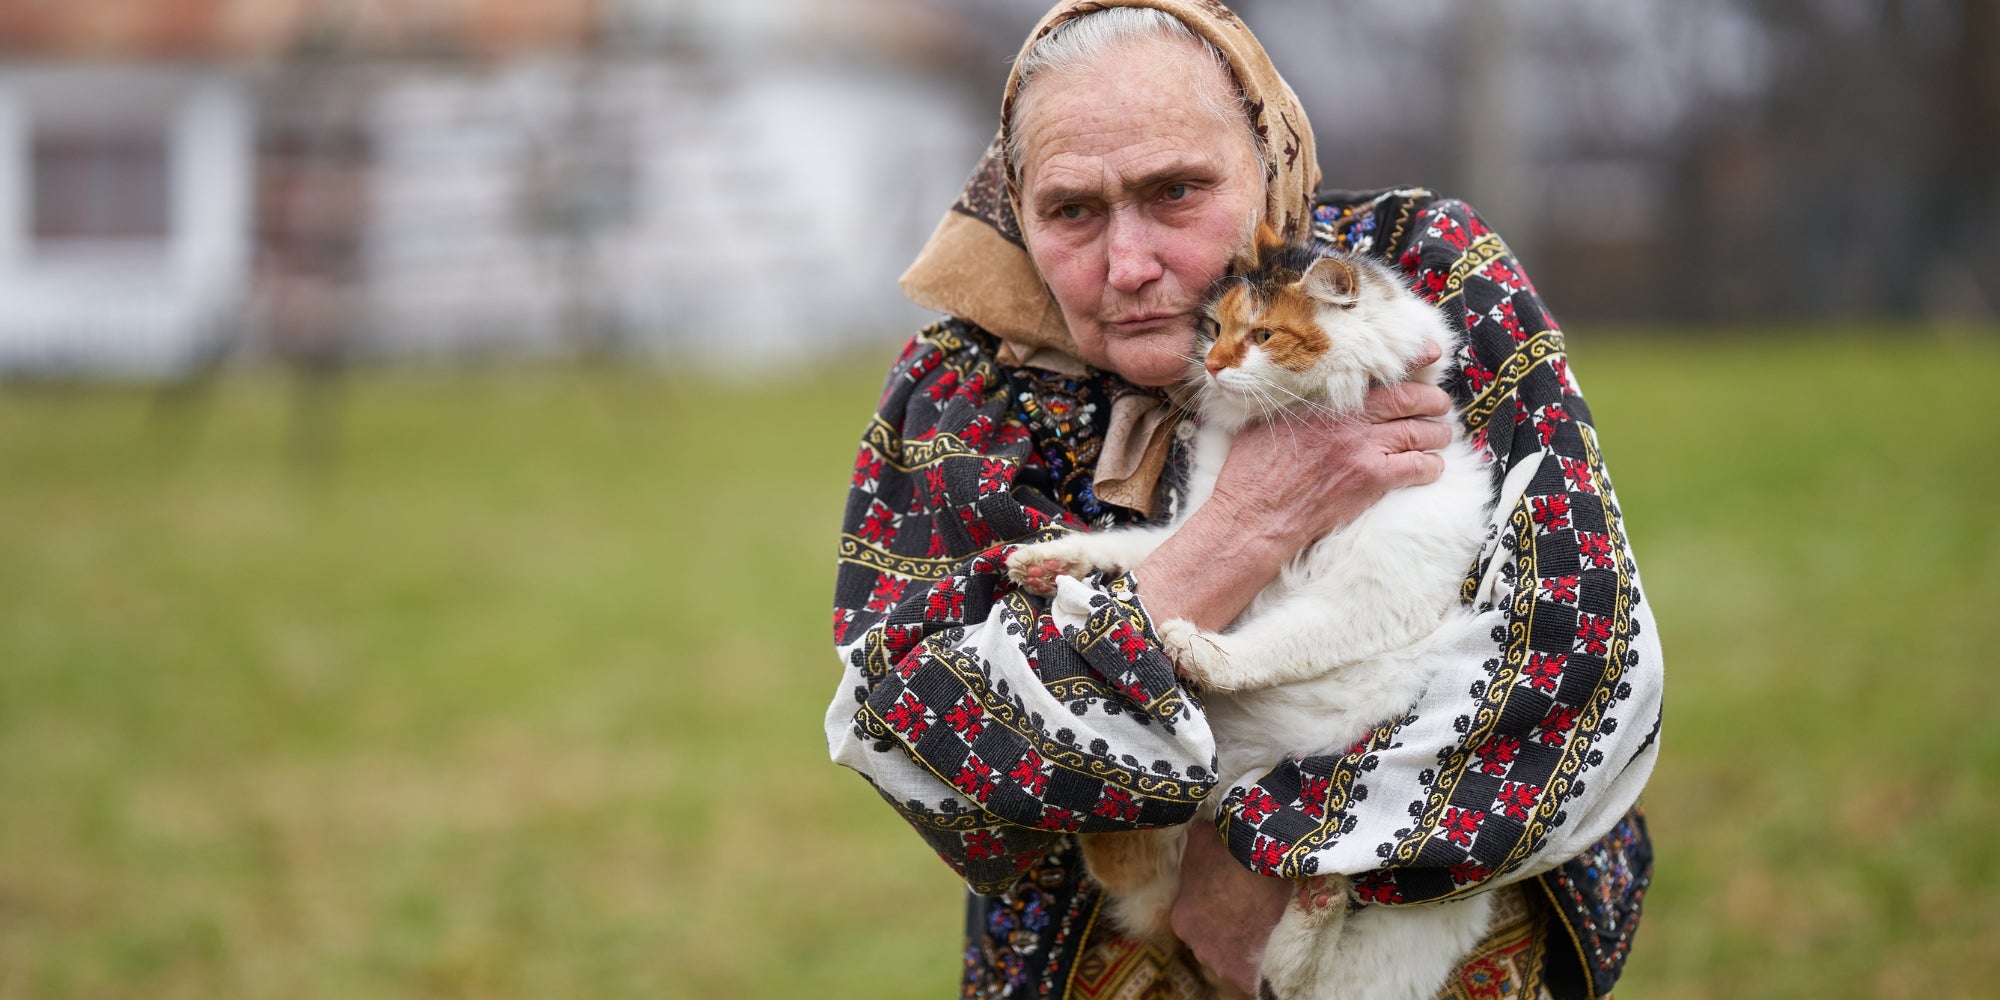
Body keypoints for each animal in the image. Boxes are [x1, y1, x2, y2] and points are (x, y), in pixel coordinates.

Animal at [1008, 230, 1496, 1000]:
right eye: (1212, 328)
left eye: (1262, 335)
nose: (1211, 364)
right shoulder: (1199, 527)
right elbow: (1137, 549)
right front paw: (1049, 560)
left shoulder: (1377, 585)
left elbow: (1285, 638)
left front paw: (1200, 652)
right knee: (1125, 864)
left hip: (1416, 926)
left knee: (1295, 976)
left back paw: (1317, 903)